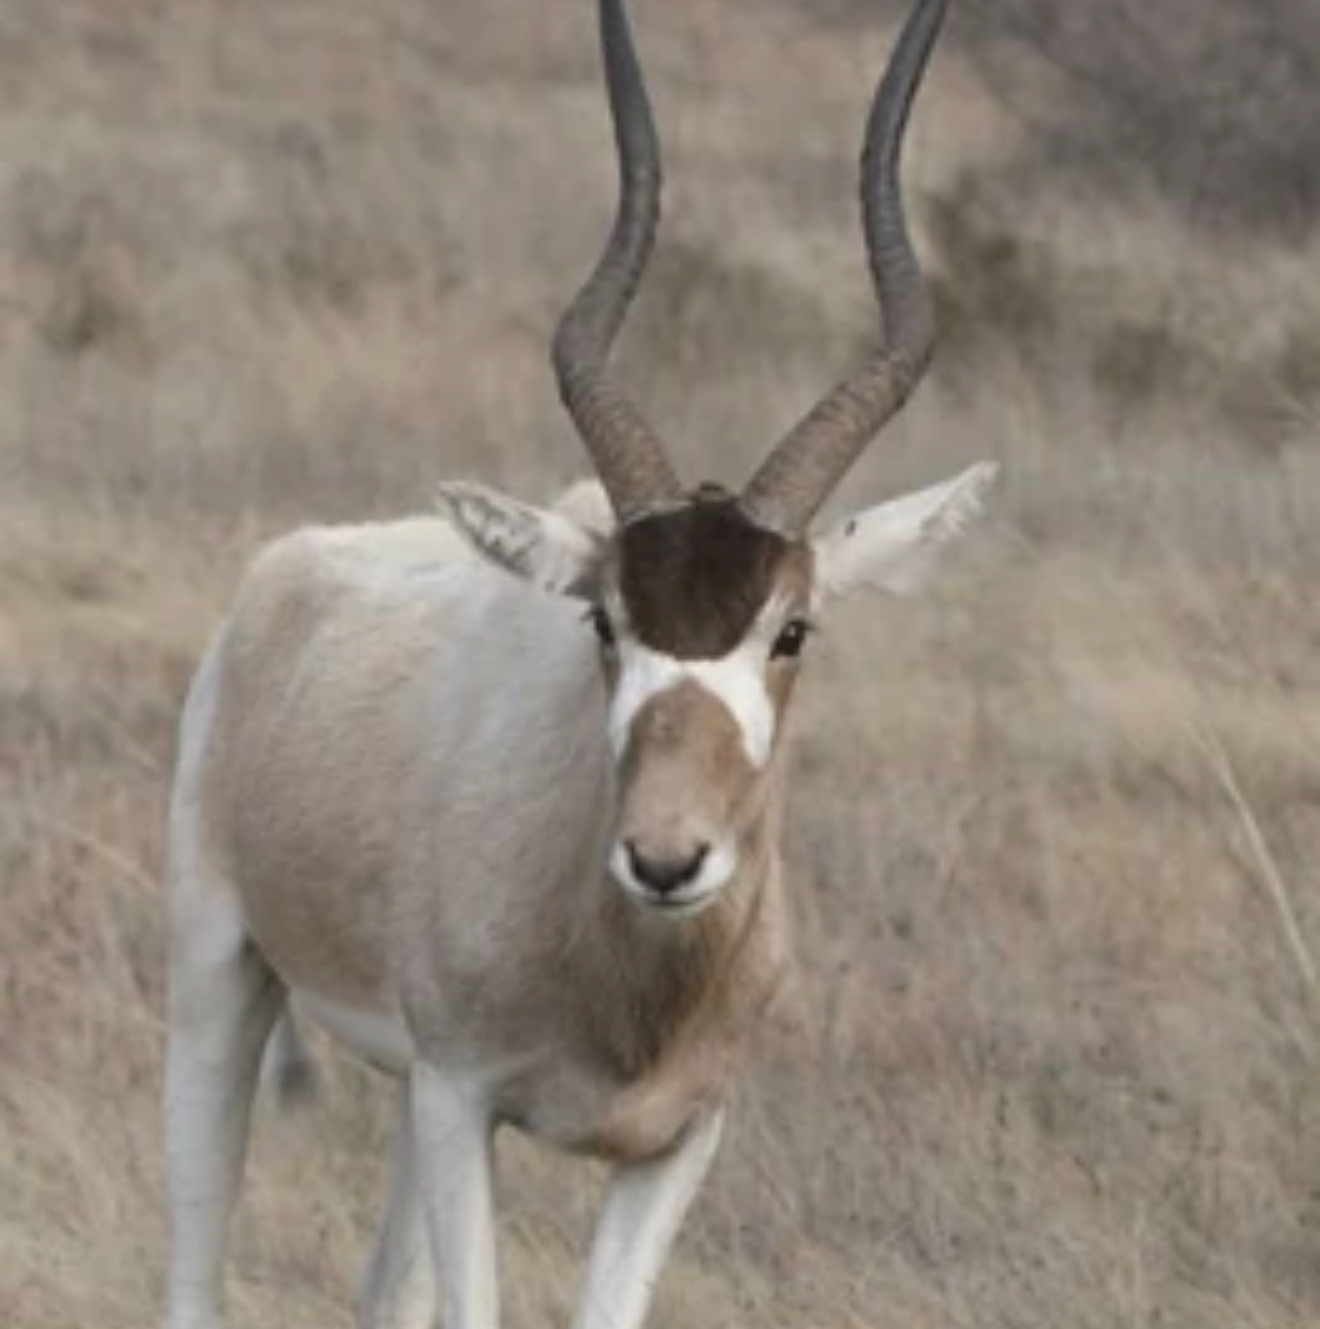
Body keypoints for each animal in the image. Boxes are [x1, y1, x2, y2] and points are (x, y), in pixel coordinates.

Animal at [162, 0, 995, 1326]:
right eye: (602, 621)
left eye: (793, 630)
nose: (665, 858)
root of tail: (285, 572)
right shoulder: (466, 1100)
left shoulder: (674, 1142)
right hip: (220, 984)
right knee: (195, 1263)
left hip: (405, 1099)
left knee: (381, 1291)